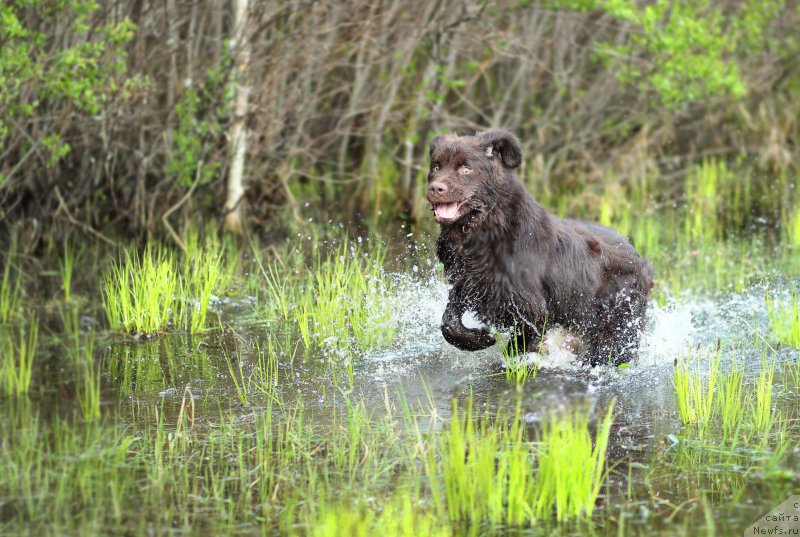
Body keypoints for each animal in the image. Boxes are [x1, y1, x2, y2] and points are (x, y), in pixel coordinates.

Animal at [428, 129, 652, 364]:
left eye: (466, 168)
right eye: (436, 166)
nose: (435, 188)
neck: (487, 226)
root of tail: (641, 260)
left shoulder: (530, 308)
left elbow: (517, 348)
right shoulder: (467, 283)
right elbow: (449, 323)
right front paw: (481, 337)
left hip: (617, 327)